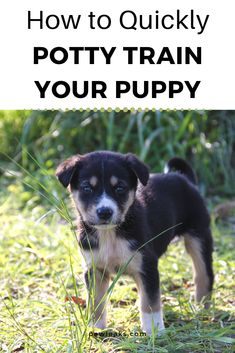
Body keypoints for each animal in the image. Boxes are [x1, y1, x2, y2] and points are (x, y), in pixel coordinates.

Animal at [56, 151, 214, 332]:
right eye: (87, 188)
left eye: (120, 188)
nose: (105, 212)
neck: (110, 234)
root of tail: (183, 178)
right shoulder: (94, 269)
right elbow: (96, 302)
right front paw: (95, 328)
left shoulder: (146, 266)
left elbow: (150, 302)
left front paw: (154, 330)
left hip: (199, 235)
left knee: (204, 274)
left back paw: (201, 308)